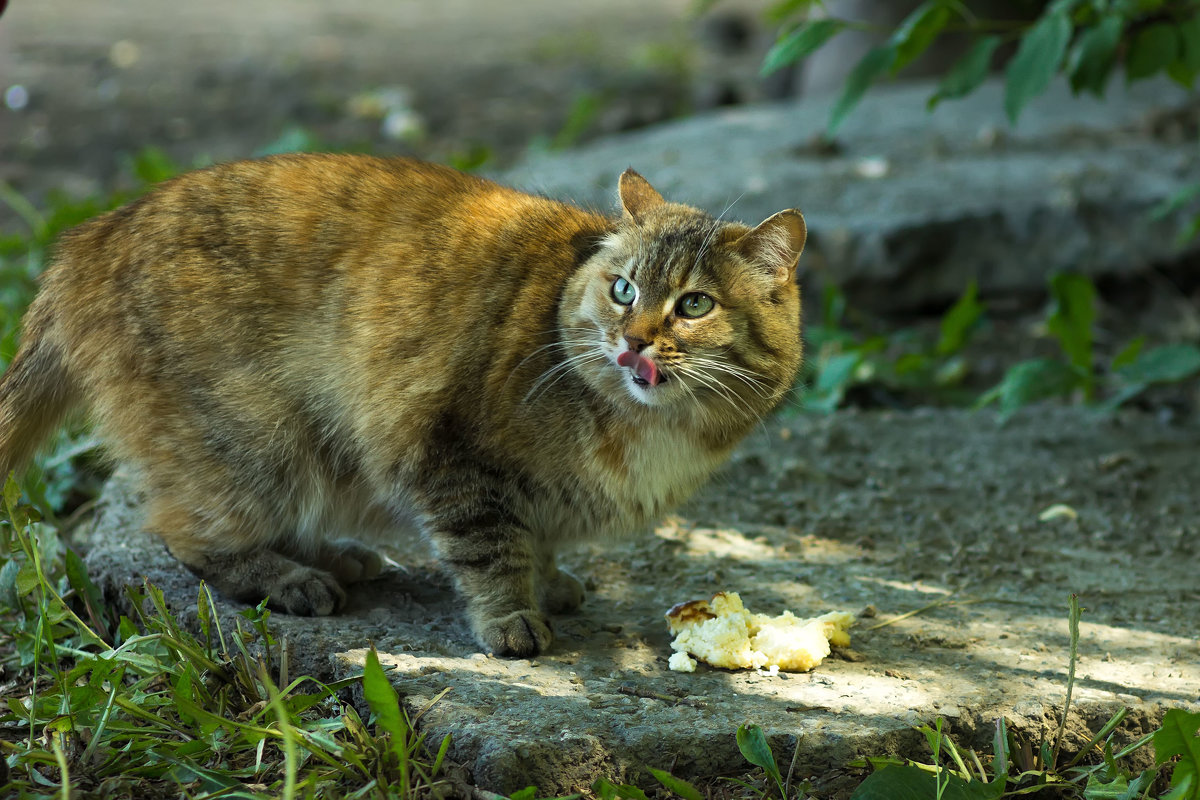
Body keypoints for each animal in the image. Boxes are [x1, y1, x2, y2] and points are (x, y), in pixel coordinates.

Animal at [2, 154, 806, 657]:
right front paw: (513, 615)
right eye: (624, 289)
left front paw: (548, 583)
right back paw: (290, 577)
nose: (634, 338)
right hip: (255, 441)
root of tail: (86, 240)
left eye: (694, 304)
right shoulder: (450, 456)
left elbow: (535, 539)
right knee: (186, 530)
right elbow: (491, 548)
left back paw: (338, 556)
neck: (659, 427)